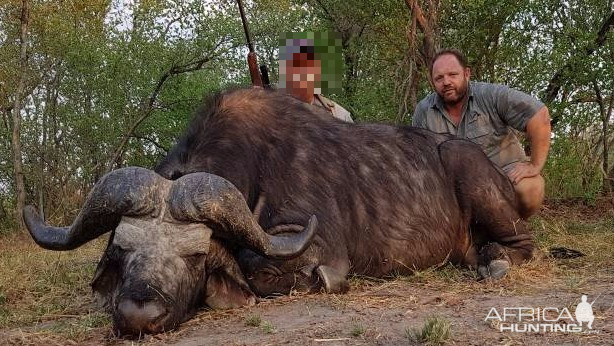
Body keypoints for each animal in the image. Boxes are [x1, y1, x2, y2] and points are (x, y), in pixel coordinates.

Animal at [22, 86, 536, 336]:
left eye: (193, 256)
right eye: (125, 251)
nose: (138, 312)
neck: (256, 164)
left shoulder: (317, 249)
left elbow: (262, 265)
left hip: (482, 189)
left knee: (522, 246)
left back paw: (495, 261)